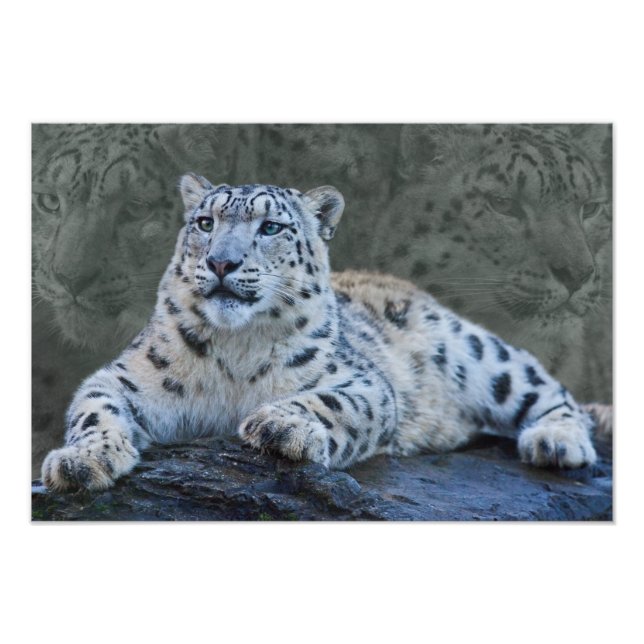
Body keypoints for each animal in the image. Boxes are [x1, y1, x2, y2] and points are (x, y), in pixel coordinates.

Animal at [41, 174, 609, 492]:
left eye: (271, 227)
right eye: (204, 222)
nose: (221, 262)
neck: (235, 349)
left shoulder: (365, 382)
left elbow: (333, 402)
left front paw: (280, 426)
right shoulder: (125, 377)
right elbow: (95, 409)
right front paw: (80, 462)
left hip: (480, 354)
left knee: (548, 388)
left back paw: (556, 442)